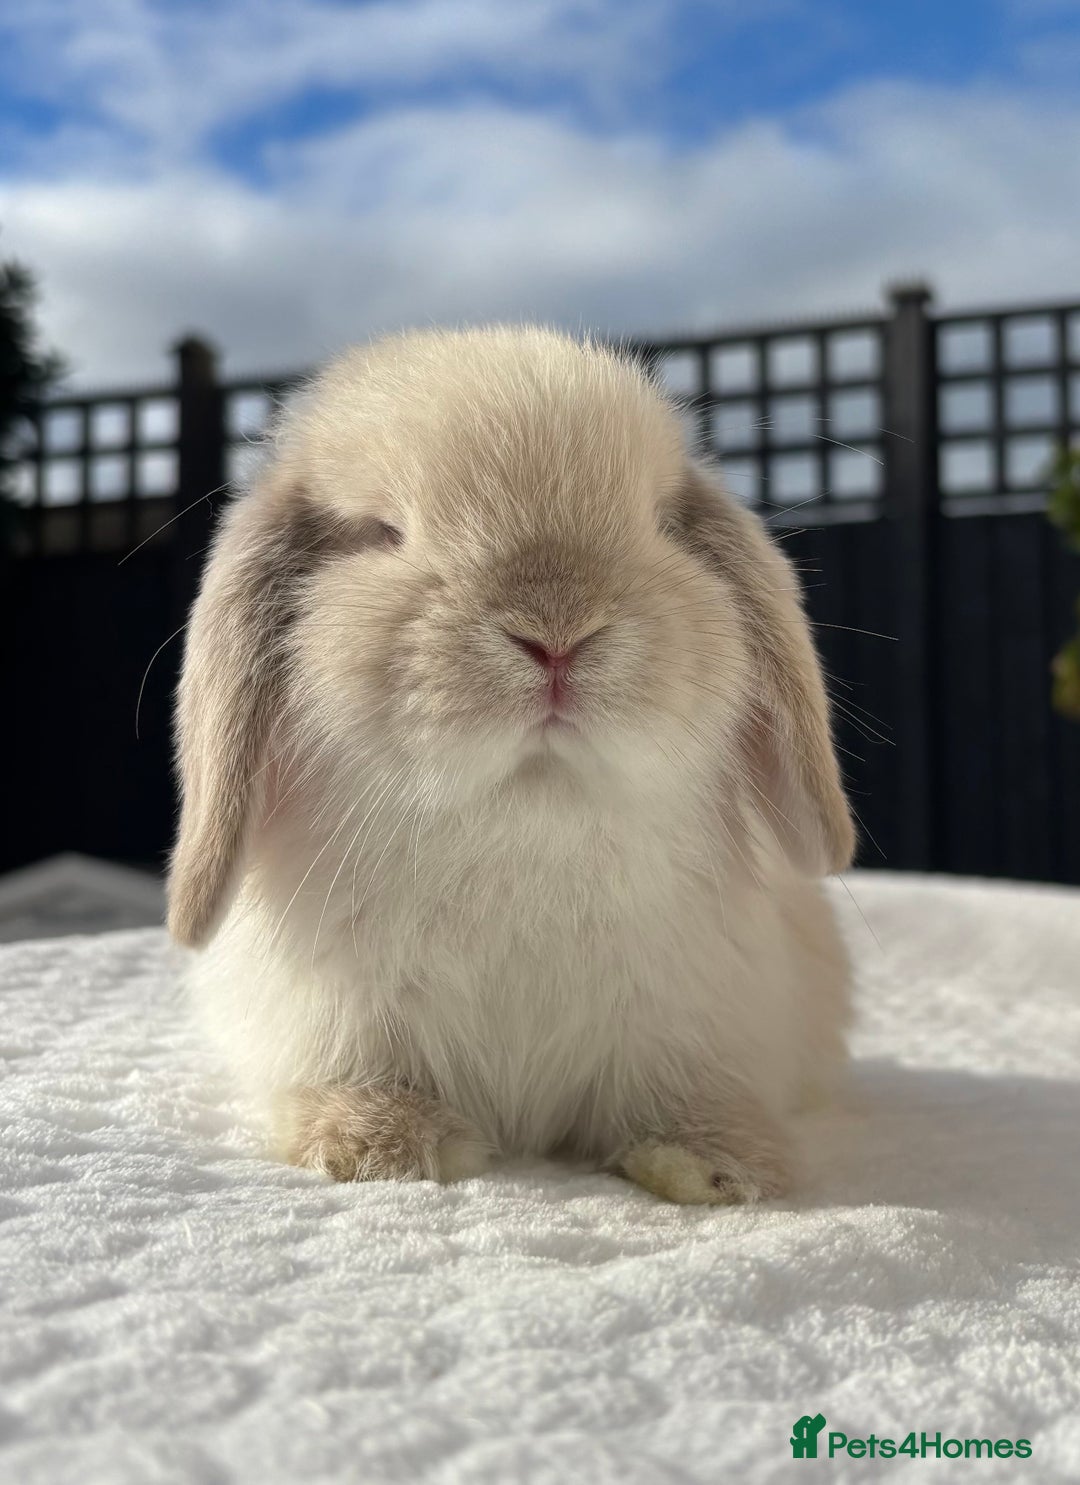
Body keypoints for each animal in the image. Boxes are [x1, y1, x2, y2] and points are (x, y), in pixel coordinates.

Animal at [167, 324, 855, 1205]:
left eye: (660, 524)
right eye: (381, 532)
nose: (557, 629)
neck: (528, 815)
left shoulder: (695, 1022)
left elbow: (683, 1101)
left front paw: (717, 1167)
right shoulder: (339, 1024)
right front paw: (381, 1143)